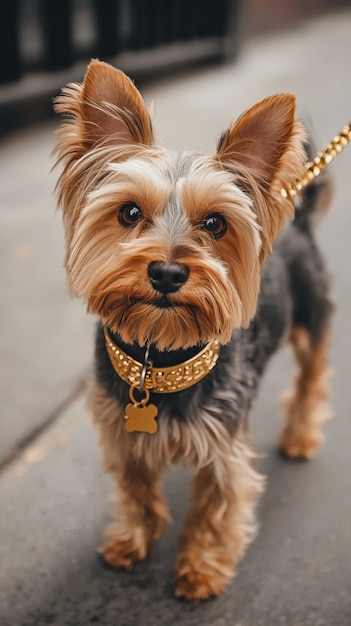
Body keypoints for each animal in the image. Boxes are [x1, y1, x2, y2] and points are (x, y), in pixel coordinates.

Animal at [53, 58, 334, 600]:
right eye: (129, 212)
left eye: (216, 223)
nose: (167, 272)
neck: (158, 357)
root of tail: (301, 220)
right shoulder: (120, 431)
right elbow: (137, 488)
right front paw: (132, 541)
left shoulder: (224, 445)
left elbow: (215, 508)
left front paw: (200, 570)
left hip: (312, 317)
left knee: (312, 376)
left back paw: (300, 436)